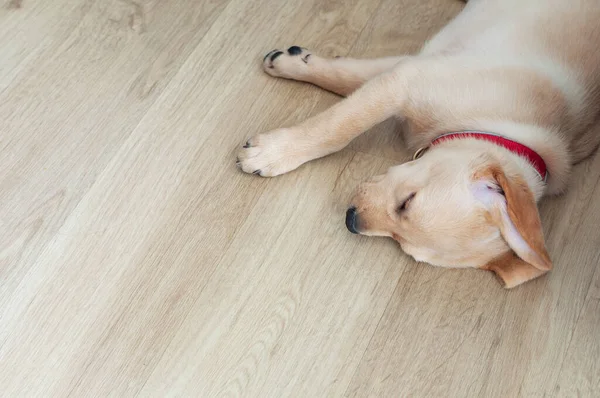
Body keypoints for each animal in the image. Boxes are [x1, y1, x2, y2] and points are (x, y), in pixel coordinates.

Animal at [236, 0, 600, 288]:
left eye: (404, 245)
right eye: (406, 202)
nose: (351, 219)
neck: (490, 125)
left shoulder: (418, 67)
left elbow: (350, 81)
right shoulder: (411, 78)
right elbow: (340, 121)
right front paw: (273, 152)